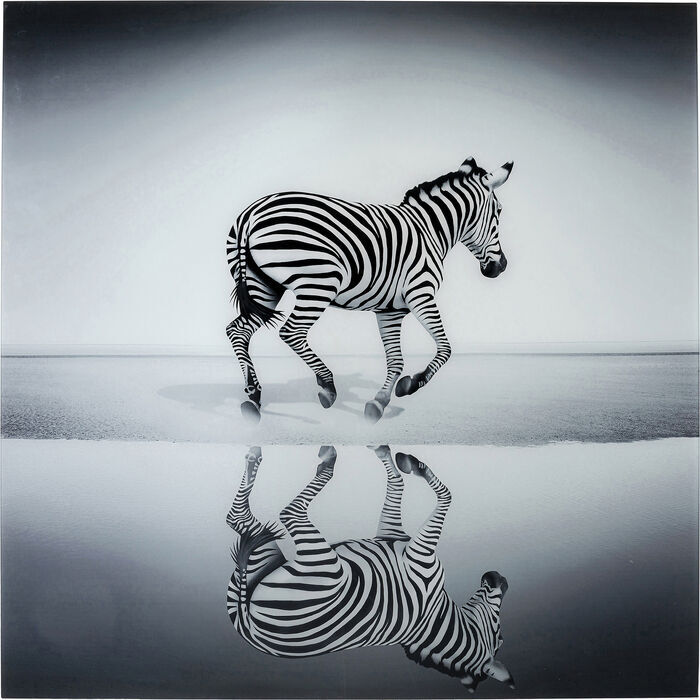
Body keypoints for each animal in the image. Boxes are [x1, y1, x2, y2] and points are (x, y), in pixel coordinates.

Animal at [225, 156, 514, 423]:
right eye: (499, 212)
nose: (501, 267)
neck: (429, 230)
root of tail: (251, 213)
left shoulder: (390, 311)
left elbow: (396, 360)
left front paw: (380, 402)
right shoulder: (421, 293)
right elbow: (445, 348)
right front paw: (411, 384)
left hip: (264, 288)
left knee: (237, 330)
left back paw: (253, 395)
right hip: (319, 283)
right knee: (291, 332)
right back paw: (327, 386)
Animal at [226, 445, 514, 694]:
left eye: (499, 637)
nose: (501, 577)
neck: (433, 617)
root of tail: (250, 630)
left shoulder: (421, 556)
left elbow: (446, 495)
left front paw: (415, 466)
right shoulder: (395, 535)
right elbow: (399, 485)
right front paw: (390, 455)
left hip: (327, 568)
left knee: (281, 513)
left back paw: (323, 461)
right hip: (265, 554)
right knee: (237, 518)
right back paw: (256, 460)